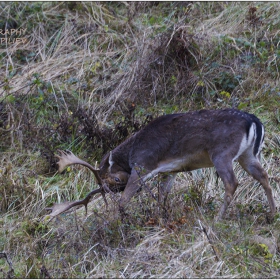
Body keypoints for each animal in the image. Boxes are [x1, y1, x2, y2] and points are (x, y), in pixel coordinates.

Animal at [46, 109, 276, 221]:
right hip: (248, 155)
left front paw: (115, 219)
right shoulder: (170, 171)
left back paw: (217, 219)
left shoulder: (142, 166)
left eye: (116, 179)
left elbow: (124, 200)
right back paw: (272, 214)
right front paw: (160, 215)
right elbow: (162, 196)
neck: (132, 150)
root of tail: (255, 122)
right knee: (264, 176)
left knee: (232, 183)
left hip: (222, 153)